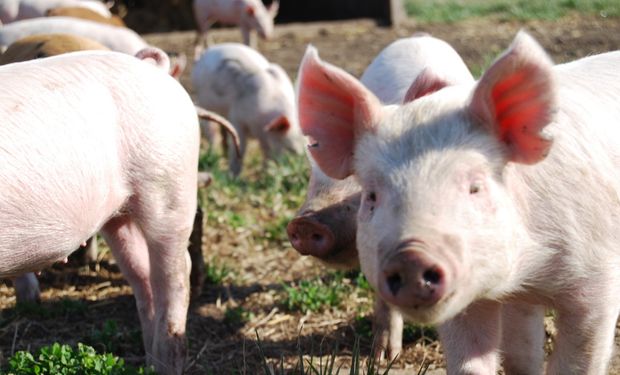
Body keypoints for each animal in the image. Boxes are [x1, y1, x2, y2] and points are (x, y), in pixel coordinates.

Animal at [0, 47, 199, 375]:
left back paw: (167, 362)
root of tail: (152, 68)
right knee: (142, 278)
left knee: (176, 274)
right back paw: (148, 365)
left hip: (170, 186)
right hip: (119, 216)